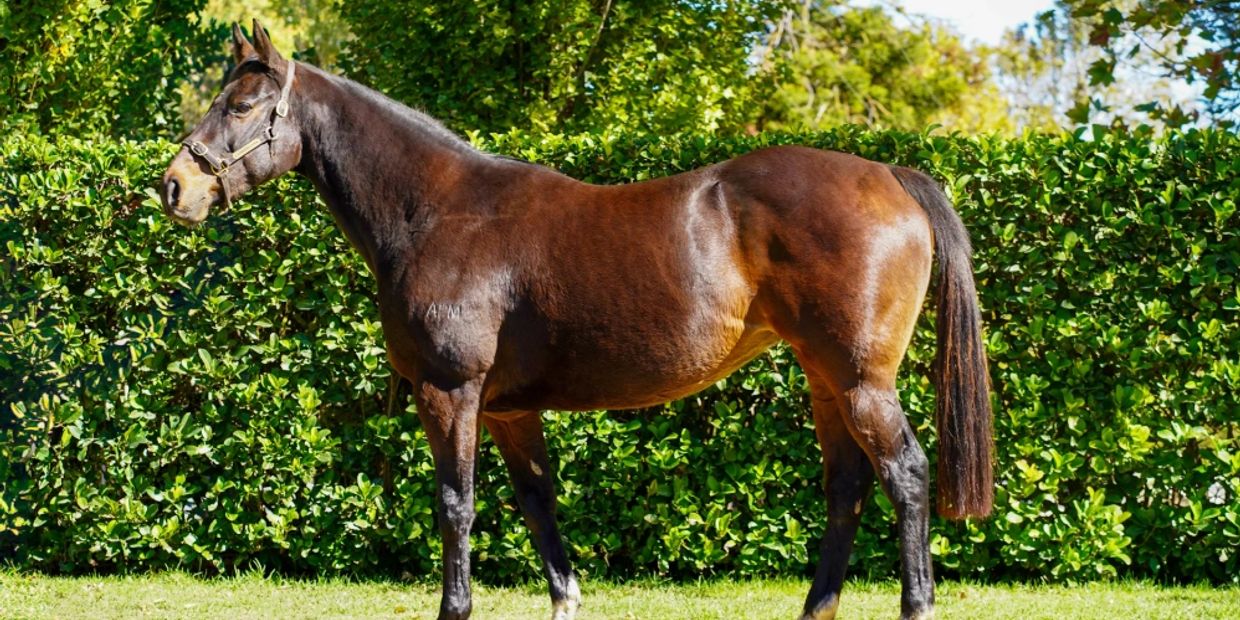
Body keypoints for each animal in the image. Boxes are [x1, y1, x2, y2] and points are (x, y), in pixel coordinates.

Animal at [161, 20, 992, 620]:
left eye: (241, 106)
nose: (174, 187)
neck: (439, 212)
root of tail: (891, 175)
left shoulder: (450, 393)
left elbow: (456, 505)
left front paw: (454, 608)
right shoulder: (508, 411)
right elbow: (537, 506)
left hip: (860, 382)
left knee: (906, 475)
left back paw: (915, 604)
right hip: (824, 379)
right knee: (847, 487)